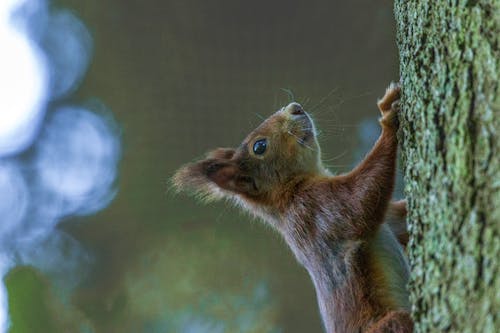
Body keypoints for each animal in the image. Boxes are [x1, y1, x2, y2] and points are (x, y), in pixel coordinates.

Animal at [174, 81, 412, 330]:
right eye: (259, 147)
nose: (295, 108)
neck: (290, 190)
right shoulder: (315, 208)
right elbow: (359, 202)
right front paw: (388, 119)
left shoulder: (386, 219)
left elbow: (398, 222)